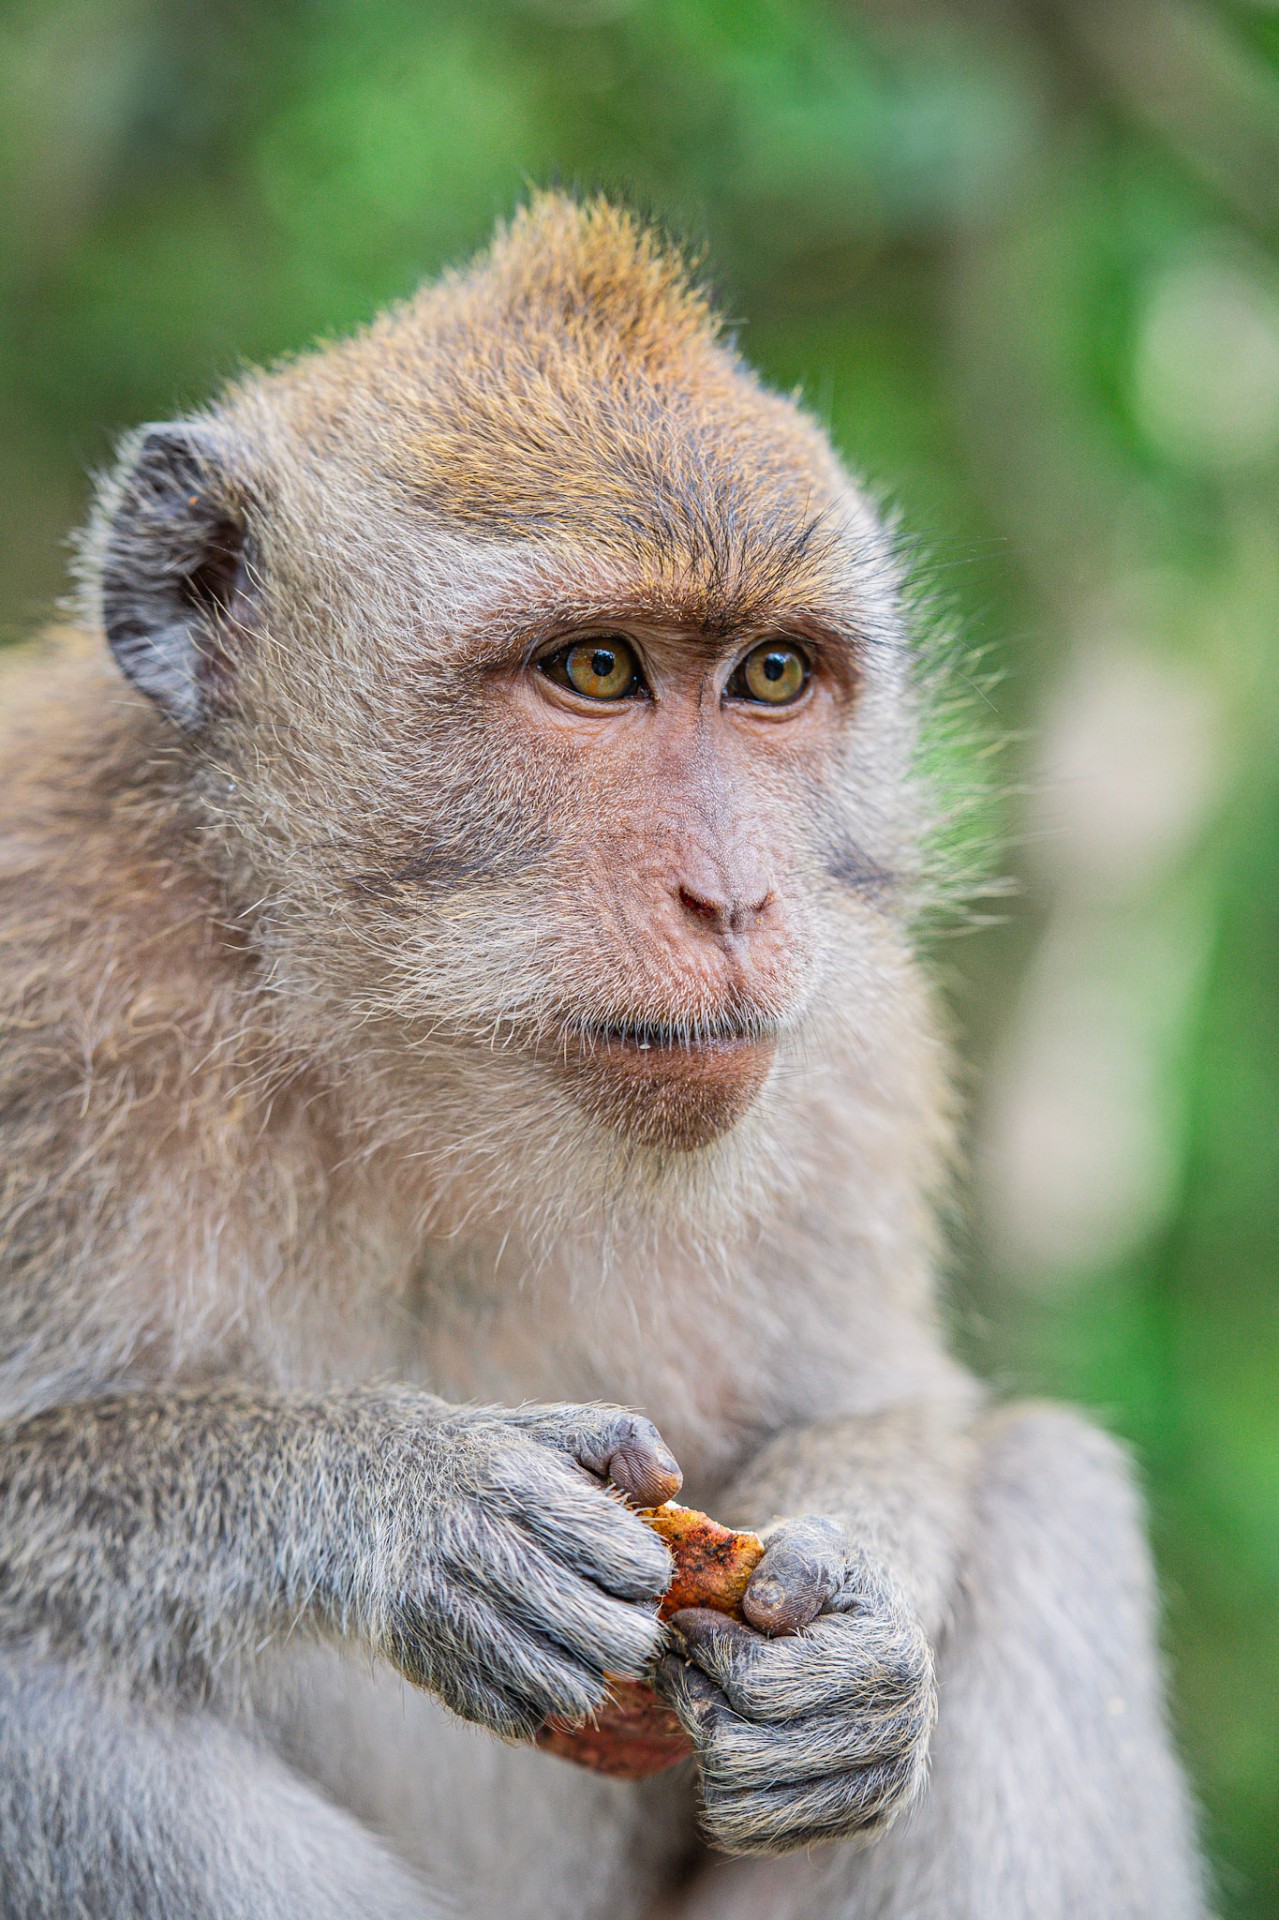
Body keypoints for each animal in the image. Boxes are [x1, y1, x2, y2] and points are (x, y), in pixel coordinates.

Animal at [0, 193, 1205, 1920]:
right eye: (594, 669)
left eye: (770, 675)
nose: (735, 901)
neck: (400, 1060)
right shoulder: (40, 978)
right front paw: (391, 1495)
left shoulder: (849, 1062)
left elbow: (895, 1406)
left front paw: (863, 1622)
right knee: (38, 1687)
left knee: (1045, 1493)